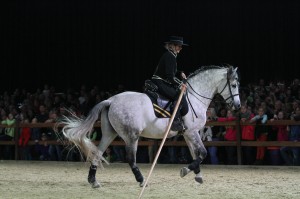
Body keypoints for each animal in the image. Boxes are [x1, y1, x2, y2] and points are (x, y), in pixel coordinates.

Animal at [59, 65, 240, 188]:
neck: (194, 97)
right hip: (131, 136)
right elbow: (202, 153)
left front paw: (198, 176)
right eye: (234, 85)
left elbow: (195, 153)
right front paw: (185, 171)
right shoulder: (192, 132)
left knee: (98, 152)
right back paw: (141, 181)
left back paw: (93, 181)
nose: (238, 106)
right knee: (131, 159)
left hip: (109, 134)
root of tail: (111, 100)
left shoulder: (188, 134)